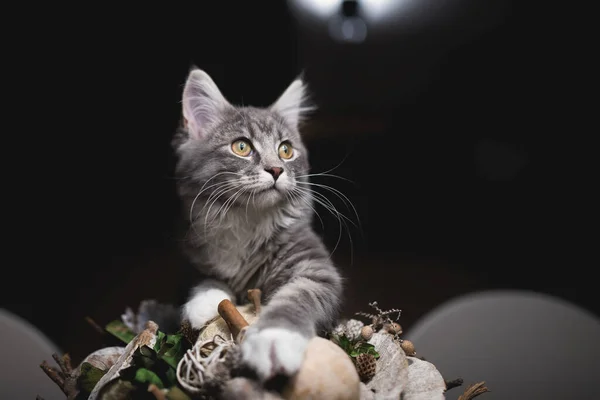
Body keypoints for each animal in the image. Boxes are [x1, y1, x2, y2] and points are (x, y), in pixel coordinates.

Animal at [172, 69, 342, 382]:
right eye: (242, 147)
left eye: (286, 150)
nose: (276, 169)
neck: (247, 219)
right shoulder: (192, 249)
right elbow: (206, 277)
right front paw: (205, 301)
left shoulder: (316, 271)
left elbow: (296, 298)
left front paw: (274, 341)